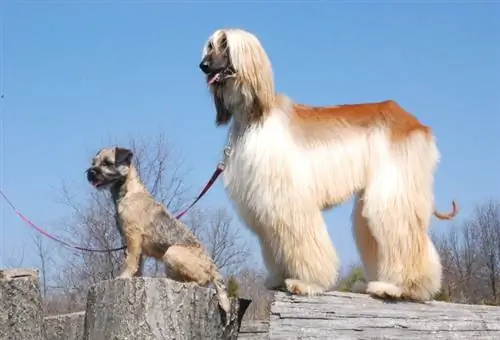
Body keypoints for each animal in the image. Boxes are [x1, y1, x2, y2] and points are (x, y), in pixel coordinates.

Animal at [87, 146, 231, 314]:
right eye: (93, 162)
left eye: (107, 163)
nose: (90, 172)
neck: (128, 192)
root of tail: (212, 265)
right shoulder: (131, 242)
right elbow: (137, 264)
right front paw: (134, 278)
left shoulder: (133, 236)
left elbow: (130, 260)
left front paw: (124, 276)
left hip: (172, 252)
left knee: (202, 279)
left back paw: (191, 284)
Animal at [198, 28, 458, 300]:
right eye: (210, 46)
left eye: (225, 45)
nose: (202, 66)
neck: (253, 116)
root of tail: (418, 125)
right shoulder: (263, 200)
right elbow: (274, 240)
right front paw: (279, 278)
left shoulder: (287, 197)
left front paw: (306, 282)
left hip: (394, 186)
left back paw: (400, 287)